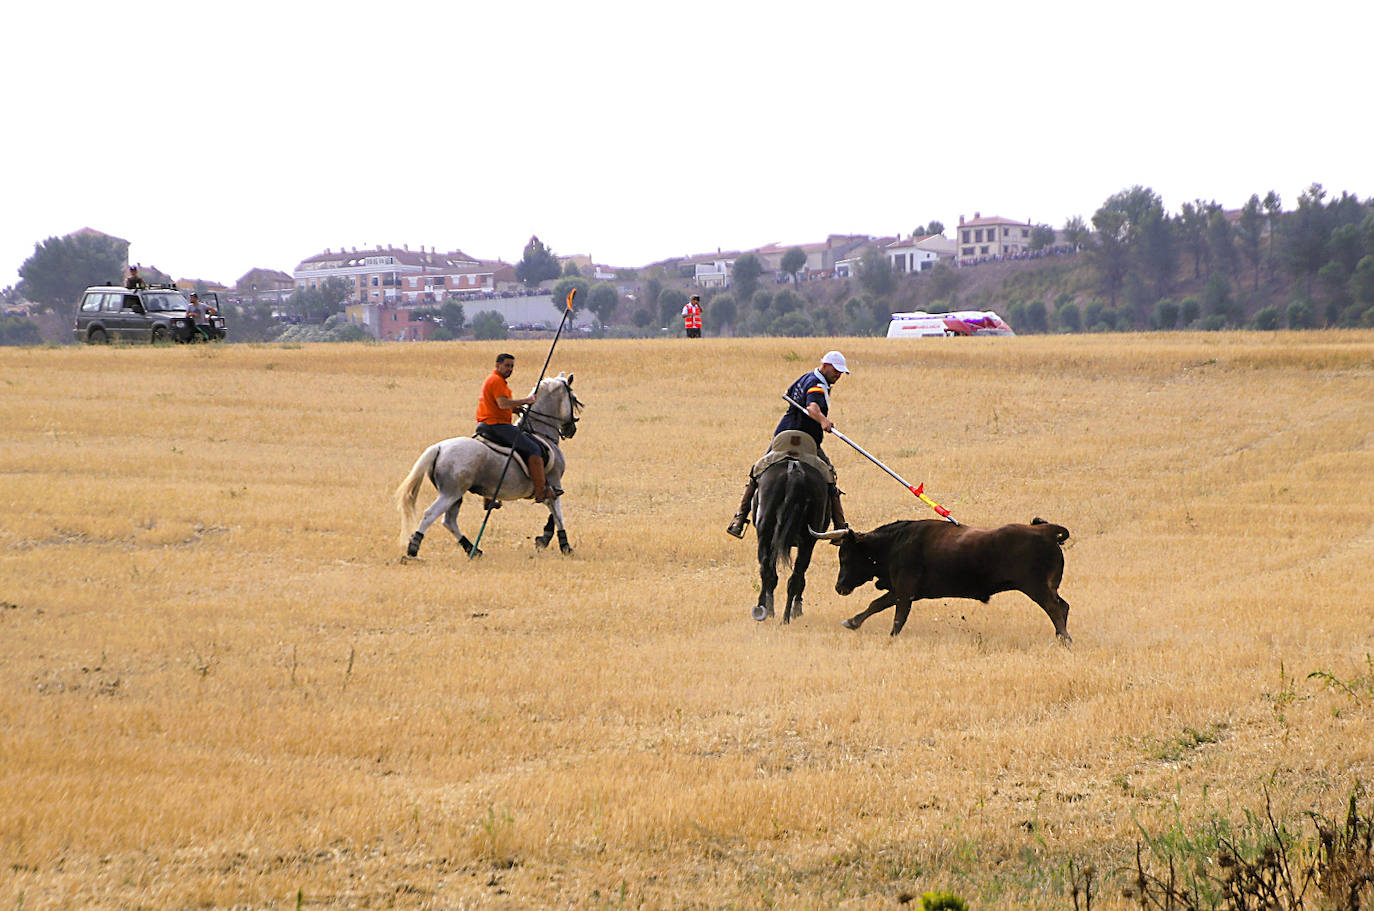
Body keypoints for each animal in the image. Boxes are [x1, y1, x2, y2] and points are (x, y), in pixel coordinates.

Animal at [395, 373, 582, 560]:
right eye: (573, 398)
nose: (571, 430)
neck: (541, 433)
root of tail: (439, 447)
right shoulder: (553, 483)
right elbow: (557, 515)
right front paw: (563, 545)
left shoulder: (551, 487)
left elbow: (554, 513)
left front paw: (543, 539)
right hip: (451, 493)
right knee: (430, 515)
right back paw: (413, 549)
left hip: (455, 495)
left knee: (449, 521)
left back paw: (473, 549)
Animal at [813, 519, 1071, 640]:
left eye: (845, 555)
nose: (839, 587)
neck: (894, 543)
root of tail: (1045, 531)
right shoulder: (901, 591)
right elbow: (877, 605)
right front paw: (853, 622)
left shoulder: (904, 591)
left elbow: (894, 615)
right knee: (1063, 606)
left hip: (1037, 588)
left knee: (1054, 608)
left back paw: (1064, 639)